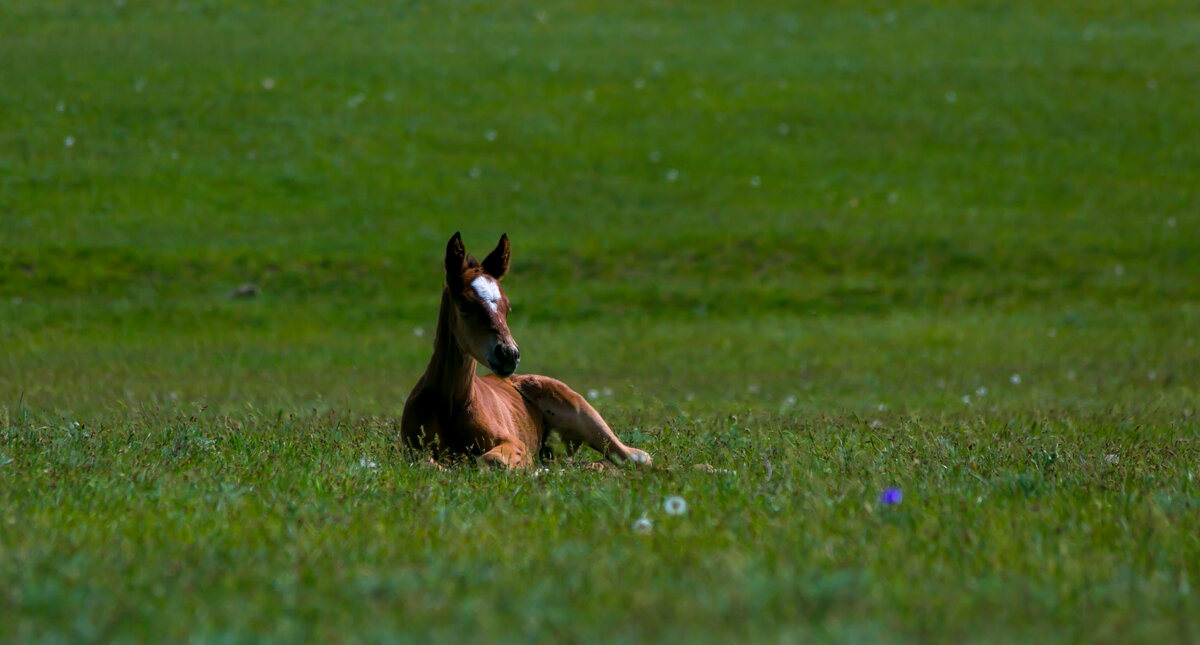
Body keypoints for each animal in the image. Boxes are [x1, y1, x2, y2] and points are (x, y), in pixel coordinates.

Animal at [398, 231, 652, 467]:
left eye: (508, 307)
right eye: (464, 304)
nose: (508, 354)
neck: (450, 404)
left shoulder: (514, 443)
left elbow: (491, 459)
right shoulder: (412, 448)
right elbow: (427, 461)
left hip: (585, 414)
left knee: (636, 457)